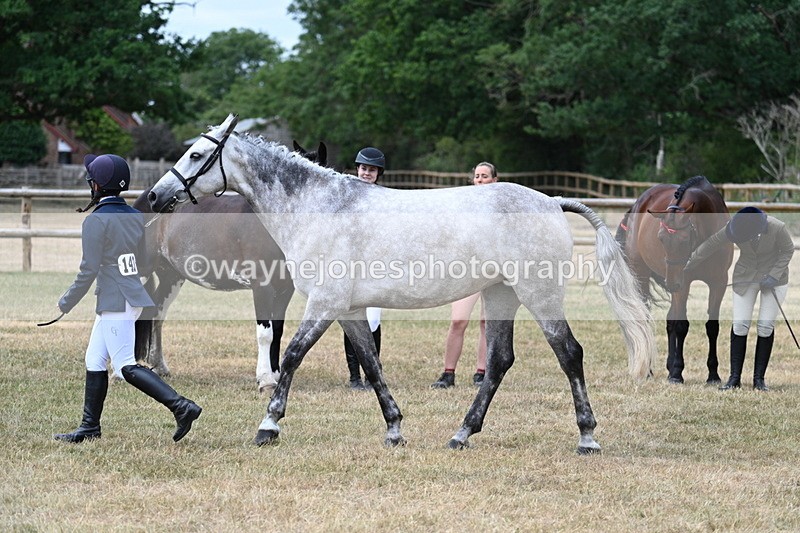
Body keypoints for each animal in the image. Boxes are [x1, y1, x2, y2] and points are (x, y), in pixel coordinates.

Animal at [133, 140, 326, 392]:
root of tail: (145, 198)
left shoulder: (285, 290)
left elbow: (278, 330)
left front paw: (275, 373)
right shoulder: (262, 287)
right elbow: (265, 333)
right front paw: (265, 379)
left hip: (171, 277)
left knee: (157, 313)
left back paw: (159, 366)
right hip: (140, 269)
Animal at [615, 176, 733, 384]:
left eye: (685, 240)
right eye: (661, 238)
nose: (672, 283)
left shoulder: (718, 282)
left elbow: (712, 327)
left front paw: (713, 374)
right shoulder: (683, 284)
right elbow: (681, 325)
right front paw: (678, 372)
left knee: (670, 319)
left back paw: (668, 367)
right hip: (644, 275)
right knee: (647, 317)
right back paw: (649, 369)